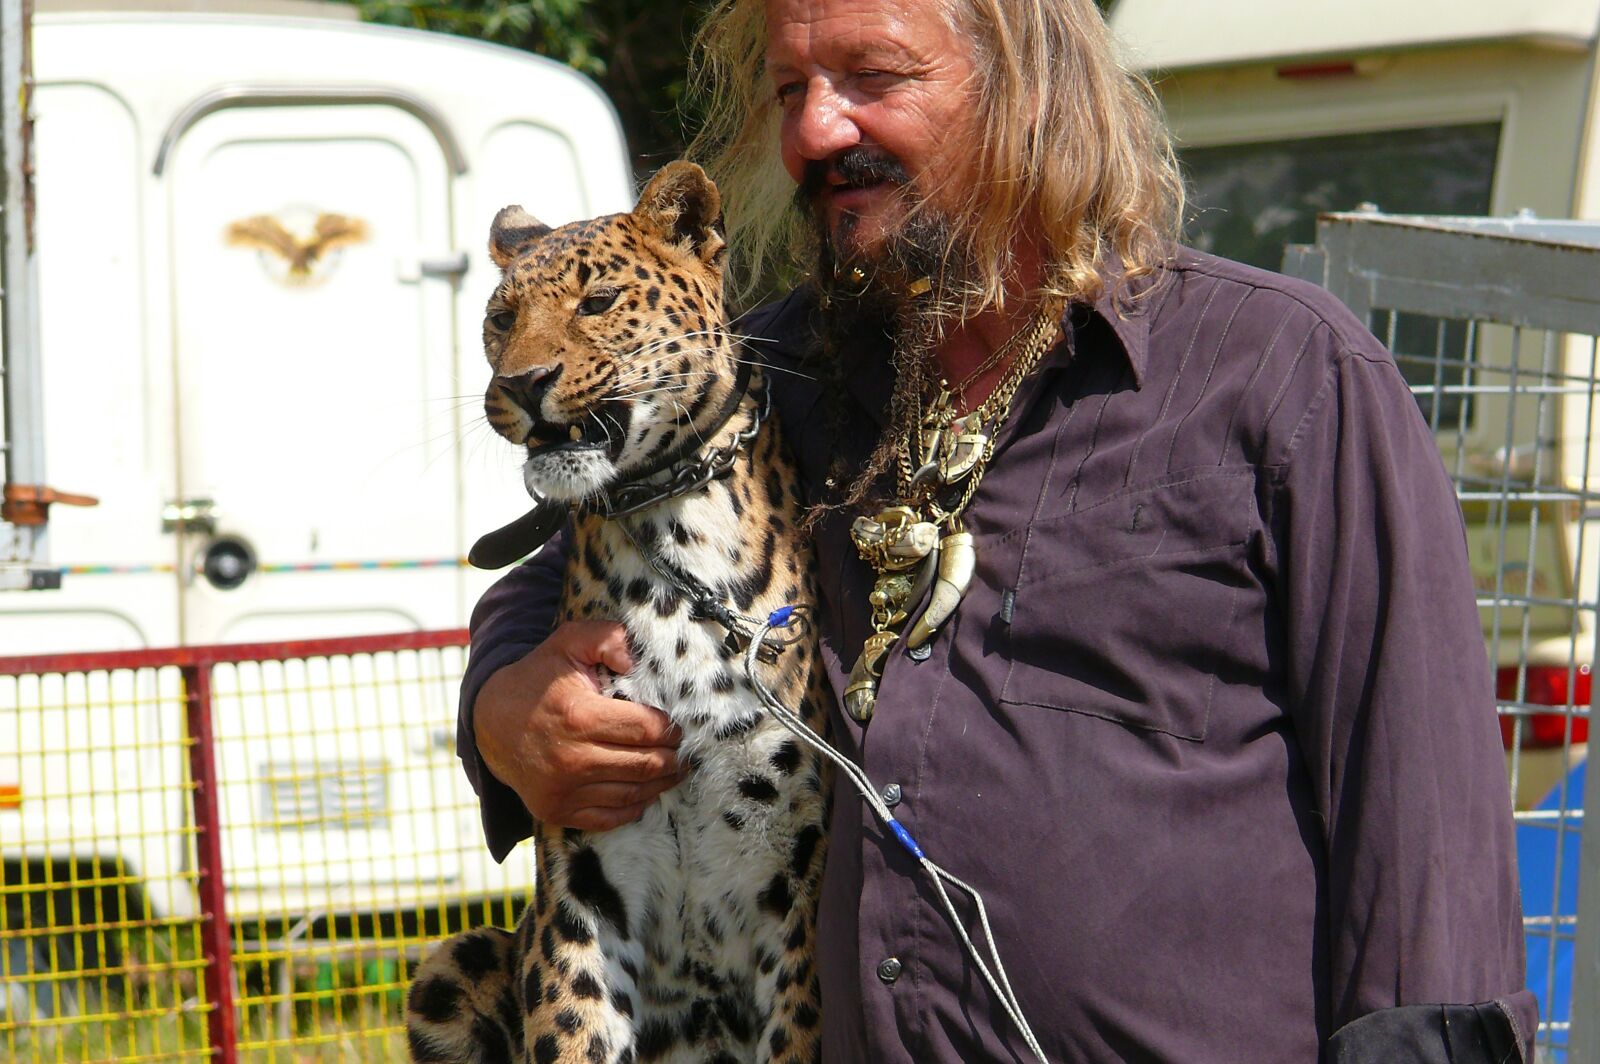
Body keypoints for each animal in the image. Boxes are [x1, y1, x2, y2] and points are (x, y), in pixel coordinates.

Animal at [405, 161, 831, 1064]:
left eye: (597, 302)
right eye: (501, 319)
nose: (522, 384)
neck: (672, 522)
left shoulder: (792, 888)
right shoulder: (583, 878)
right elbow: (574, 1027)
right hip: (455, 958)